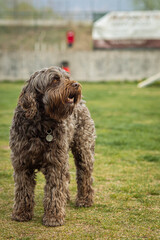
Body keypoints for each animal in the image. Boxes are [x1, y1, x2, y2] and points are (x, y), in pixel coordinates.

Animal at [9, 66, 95, 227]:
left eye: (67, 77)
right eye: (55, 79)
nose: (76, 84)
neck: (41, 123)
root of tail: (82, 103)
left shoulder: (55, 163)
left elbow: (54, 190)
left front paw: (53, 217)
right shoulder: (22, 163)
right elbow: (23, 190)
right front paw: (21, 213)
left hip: (83, 150)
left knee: (85, 175)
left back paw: (84, 200)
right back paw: (66, 198)